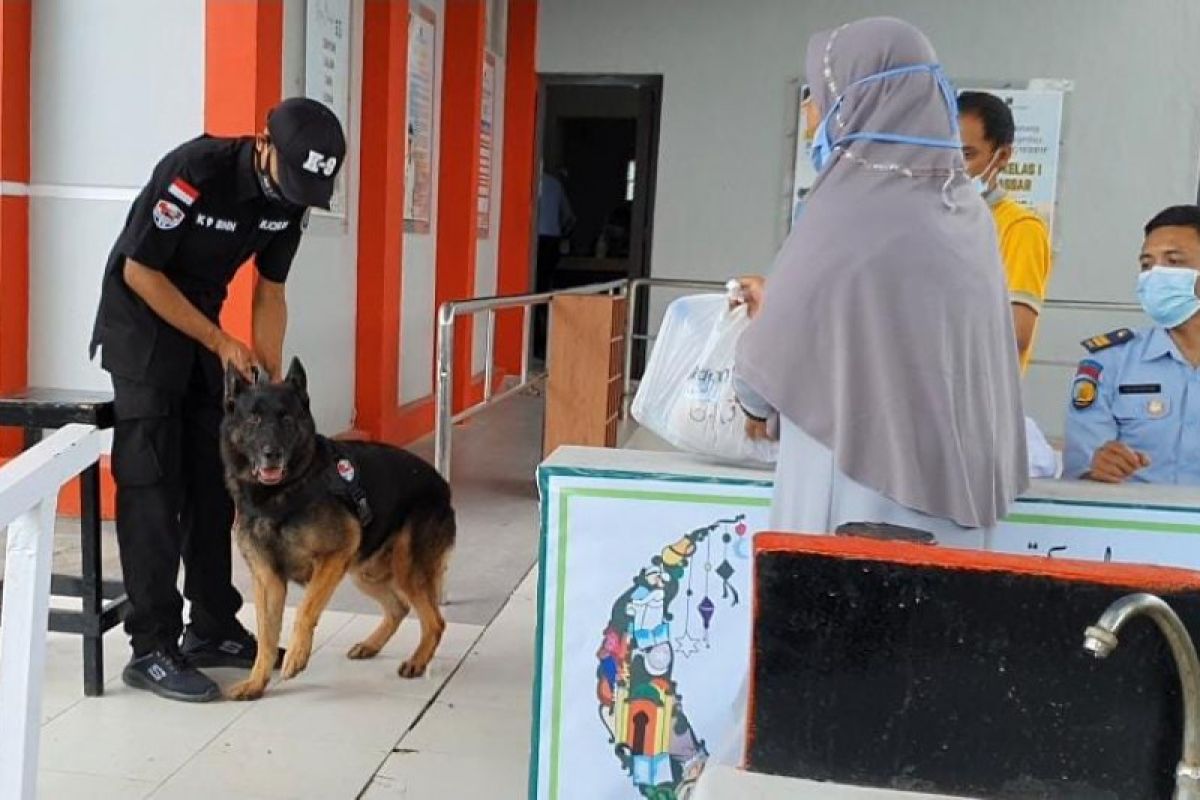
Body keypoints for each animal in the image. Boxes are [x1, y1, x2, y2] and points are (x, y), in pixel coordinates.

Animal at [220, 357, 453, 700]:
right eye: (254, 419)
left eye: (286, 418)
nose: (271, 453)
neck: (278, 497)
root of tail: (442, 485)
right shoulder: (267, 579)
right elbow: (266, 638)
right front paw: (256, 682)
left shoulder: (333, 556)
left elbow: (305, 610)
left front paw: (296, 656)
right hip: (365, 572)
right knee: (399, 607)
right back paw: (372, 645)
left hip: (403, 569)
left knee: (435, 621)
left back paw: (417, 661)